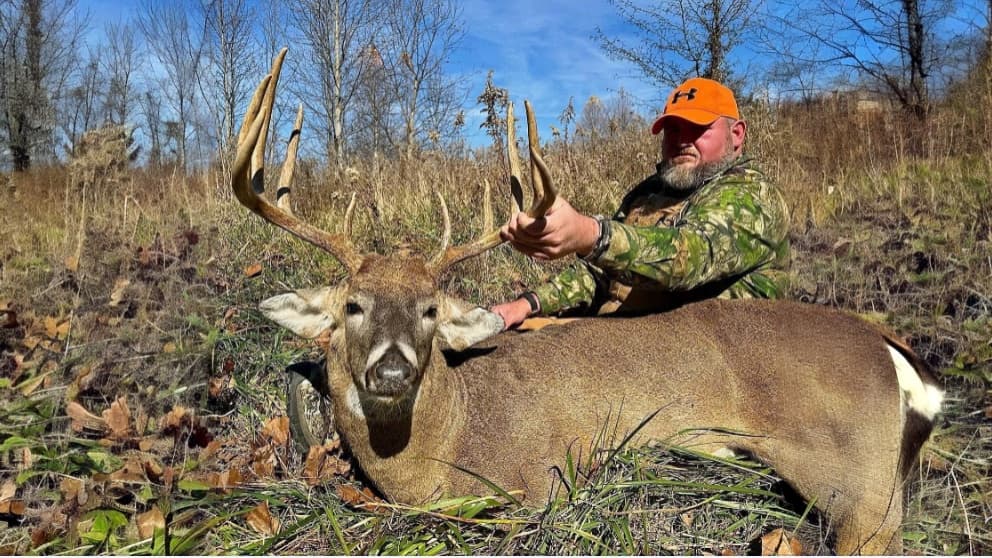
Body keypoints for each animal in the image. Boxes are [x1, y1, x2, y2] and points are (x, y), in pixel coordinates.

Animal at [232, 49, 943, 555]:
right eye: (353, 307)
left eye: (431, 310)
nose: (391, 369)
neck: (447, 439)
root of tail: (893, 352)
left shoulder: (535, 480)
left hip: (856, 480)